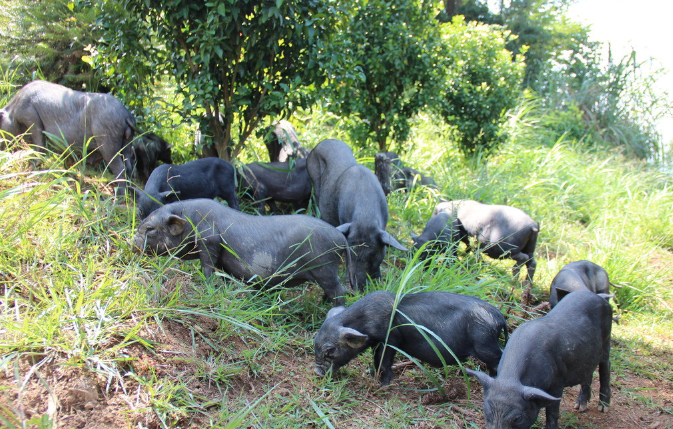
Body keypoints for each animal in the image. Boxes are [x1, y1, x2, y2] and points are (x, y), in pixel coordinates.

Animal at [314, 290, 504, 382]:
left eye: (330, 350)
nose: (316, 371)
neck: (367, 319)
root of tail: (499, 317)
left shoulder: (391, 338)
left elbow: (384, 360)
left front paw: (384, 383)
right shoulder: (377, 342)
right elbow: (376, 359)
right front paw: (373, 376)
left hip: (485, 344)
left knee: (499, 358)